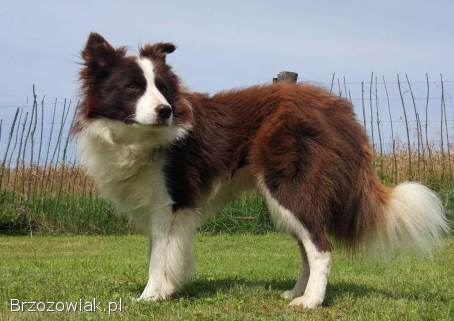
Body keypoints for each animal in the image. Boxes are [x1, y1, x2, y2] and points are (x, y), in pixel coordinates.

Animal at [76, 32, 448, 308]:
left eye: (163, 89)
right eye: (133, 87)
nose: (166, 110)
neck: (136, 139)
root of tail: (339, 111)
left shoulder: (172, 202)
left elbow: (159, 256)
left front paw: (151, 295)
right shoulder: (158, 204)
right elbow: (159, 251)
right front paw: (167, 289)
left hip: (289, 187)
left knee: (321, 247)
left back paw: (310, 301)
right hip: (286, 196)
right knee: (306, 247)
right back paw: (297, 292)